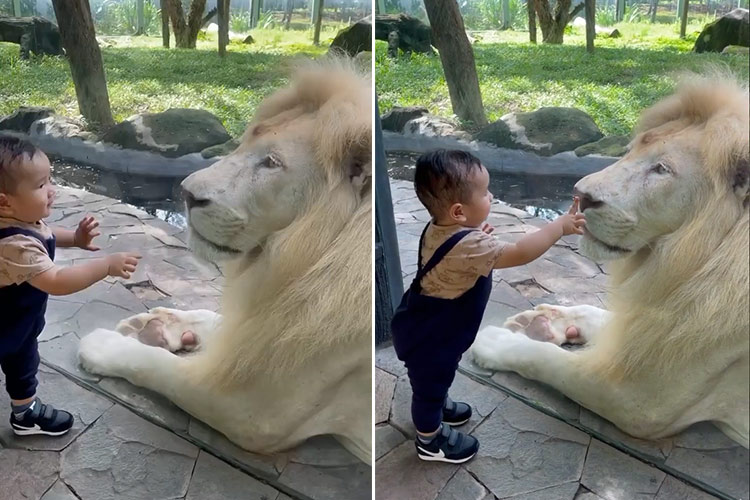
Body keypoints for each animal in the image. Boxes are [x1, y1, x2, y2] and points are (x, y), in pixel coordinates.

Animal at [75, 59, 374, 464]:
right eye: (246, 141)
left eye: (271, 163)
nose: (185, 194)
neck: (300, 261)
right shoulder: (267, 324)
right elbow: (216, 320)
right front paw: (161, 326)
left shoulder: (251, 410)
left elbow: (157, 367)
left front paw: (103, 345)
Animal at [472, 74, 748, 446]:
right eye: (630, 151)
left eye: (662, 169)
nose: (580, 195)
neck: (684, 266)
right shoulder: (655, 323)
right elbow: (599, 315)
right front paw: (545, 321)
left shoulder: (639, 401)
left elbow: (548, 361)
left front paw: (496, 341)